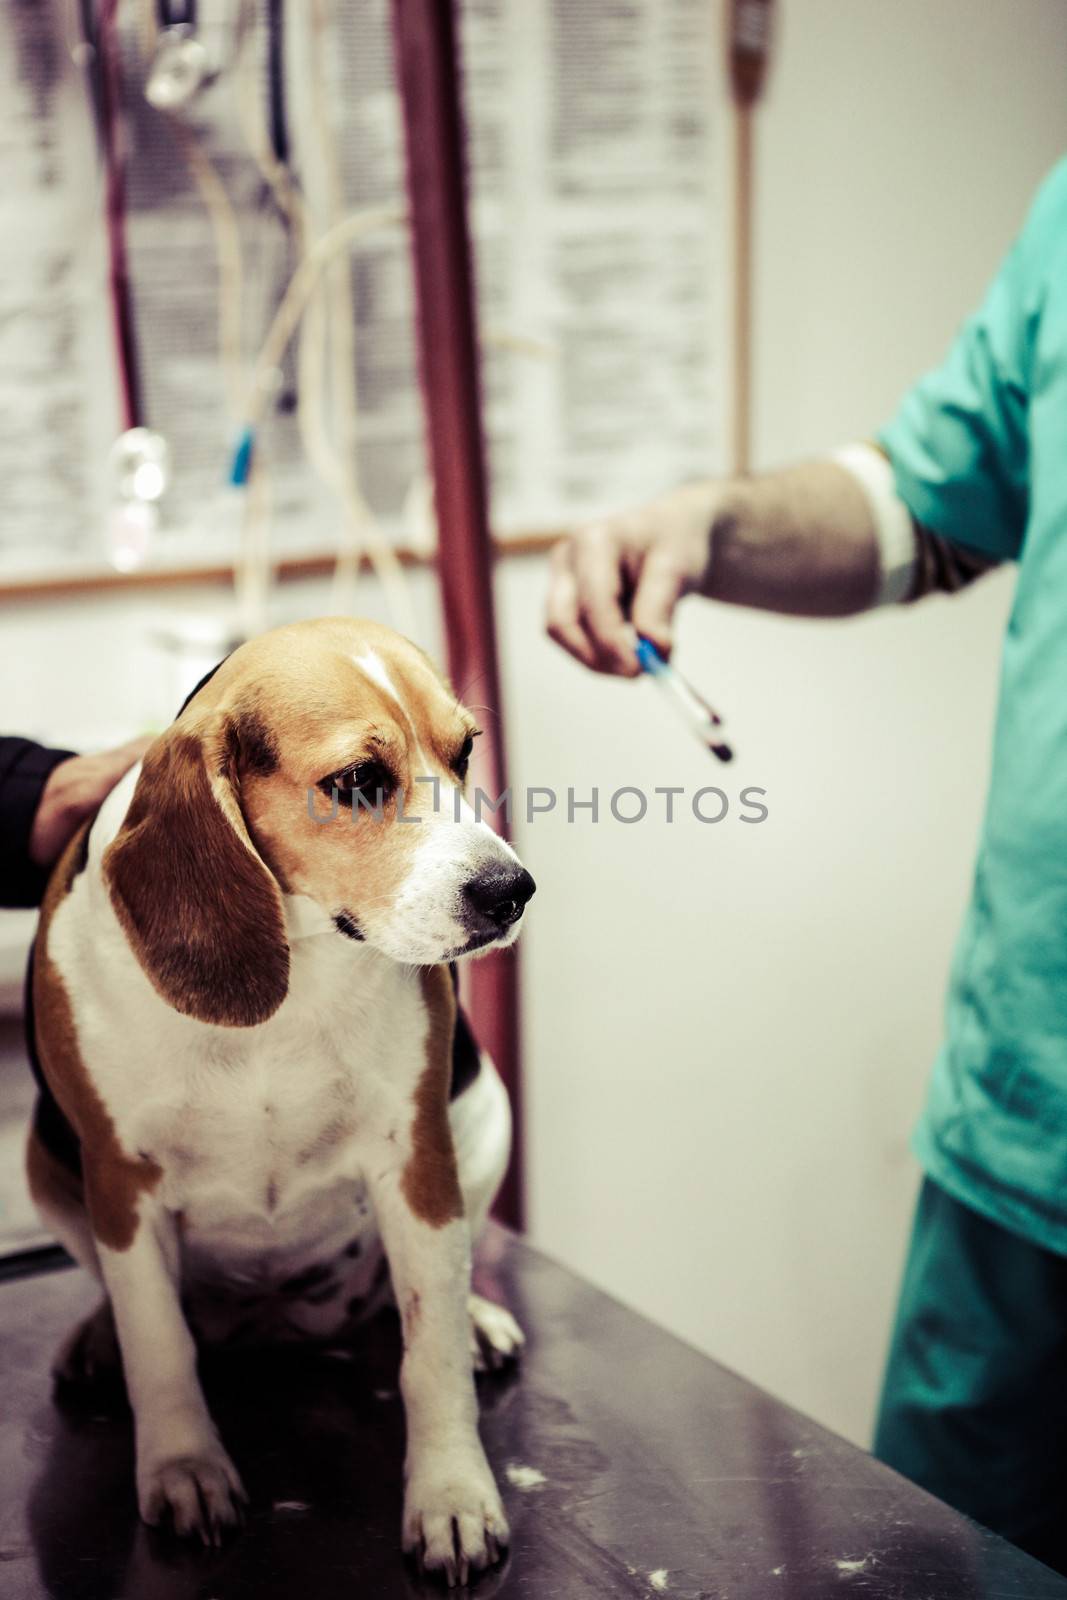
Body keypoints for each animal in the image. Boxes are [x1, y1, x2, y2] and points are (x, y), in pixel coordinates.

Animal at [24, 617, 537, 1580]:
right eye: (357, 782)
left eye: (463, 752)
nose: (512, 891)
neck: (297, 953)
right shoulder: (119, 1178)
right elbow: (160, 1343)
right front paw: (185, 1469)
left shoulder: (417, 1159)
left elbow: (429, 1356)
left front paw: (451, 1496)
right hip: (45, 1164)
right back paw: (98, 1340)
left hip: (485, 1120)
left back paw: (479, 1318)